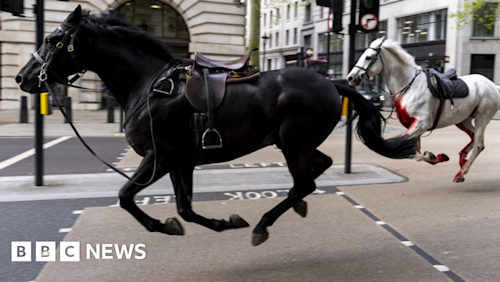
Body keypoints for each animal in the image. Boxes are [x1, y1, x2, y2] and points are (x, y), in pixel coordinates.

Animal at [15, 5, 416, 246]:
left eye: (51, 39)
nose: (22, 78)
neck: (148, 85)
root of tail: (330, 83)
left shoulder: (159, 157)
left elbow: (127, 196)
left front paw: (165, 225)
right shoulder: (180, 161)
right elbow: (183, 209)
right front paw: (216, 223)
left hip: (292, 142)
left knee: (305, 181)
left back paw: (264, 223)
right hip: (292, 142)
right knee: (318, 169)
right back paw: (294, 206)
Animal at [348, 38, 500, 183]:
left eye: (368, 57)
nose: (351, 77)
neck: (409, 85)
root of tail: (493, 85)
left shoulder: (422, 123)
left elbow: (410, 150)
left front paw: (434, 156)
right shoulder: (415, 125)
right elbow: (414, 152)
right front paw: (436, 156)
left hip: (482, 117)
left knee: (478, 145)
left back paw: (461, 173)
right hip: (463, 120)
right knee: (474, 138)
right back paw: (462, 161)